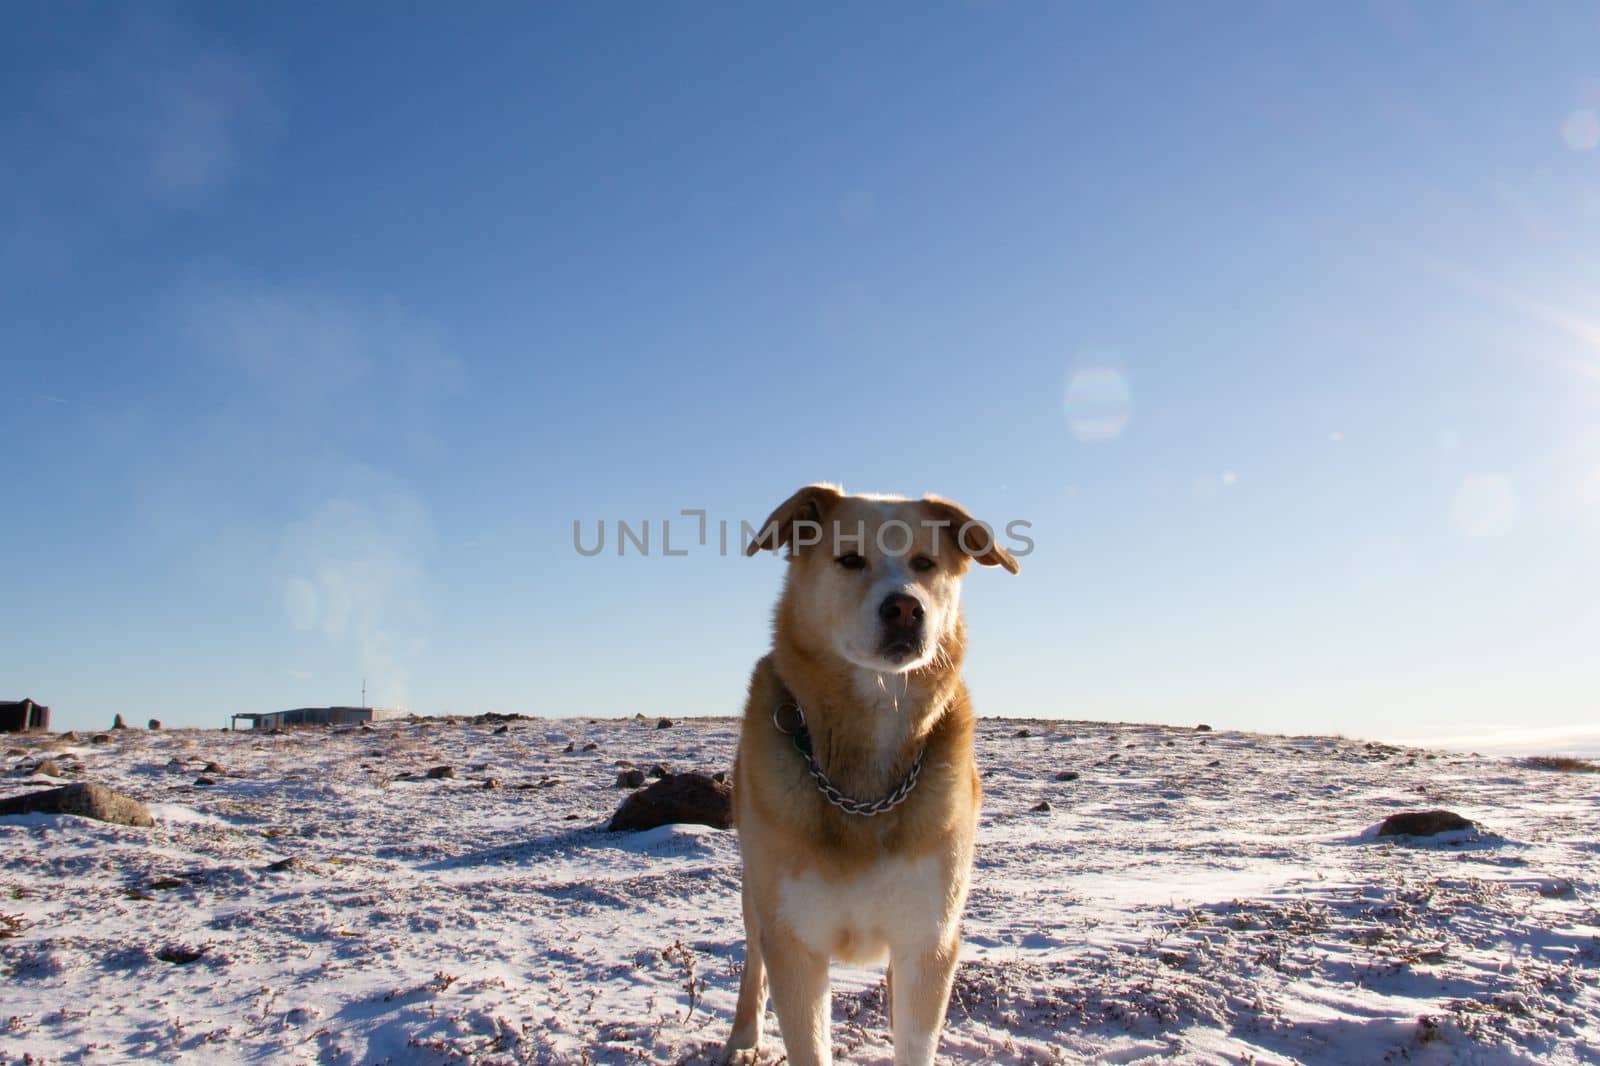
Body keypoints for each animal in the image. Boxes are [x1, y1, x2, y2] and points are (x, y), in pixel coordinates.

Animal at [723, 483, 1011, 1062]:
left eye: (925, 563)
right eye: (850, 558)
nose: (905, 608)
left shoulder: (928, 939)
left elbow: (915, 1036)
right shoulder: (795, 941)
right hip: (756, 892)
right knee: (752, 960)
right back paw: (744, 1038)